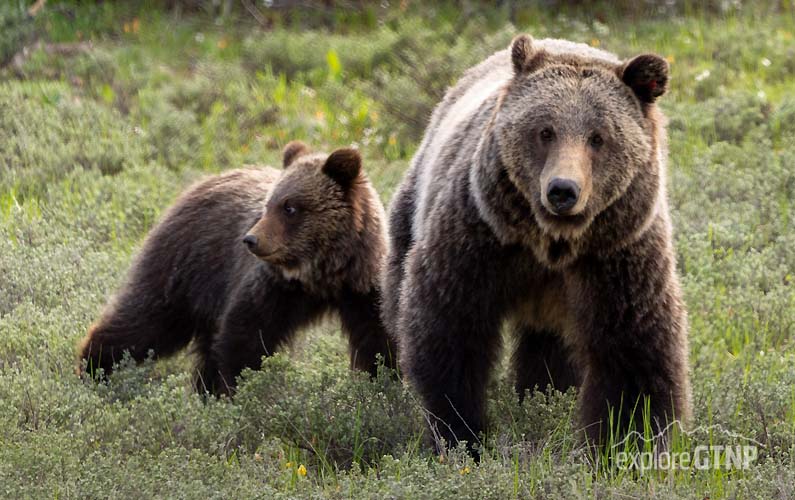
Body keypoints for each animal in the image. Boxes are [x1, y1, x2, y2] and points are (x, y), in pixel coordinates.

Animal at [80, 141, 396, 394]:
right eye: (268, 205)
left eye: (290, 207)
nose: (251, 239)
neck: (320, 276)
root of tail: (203, 181)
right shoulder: (272, 287)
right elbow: (245, 337)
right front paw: (235, 392)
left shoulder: (363, 289)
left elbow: (380, 341)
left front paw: (385, 386)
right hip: (185, 266)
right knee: (146, 321)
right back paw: (94, 367)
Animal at [382, 35, 691, 454]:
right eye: (545, 131)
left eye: (598, 137)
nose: (563, 190)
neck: (553, 244)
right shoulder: (479, 240)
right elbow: (450, 331)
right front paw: (462, 434)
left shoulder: (619, 257)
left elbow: (634, 353)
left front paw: (622, 444)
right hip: (415, 204)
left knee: (550, 351)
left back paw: (544, 393)